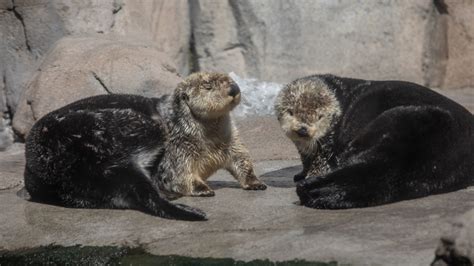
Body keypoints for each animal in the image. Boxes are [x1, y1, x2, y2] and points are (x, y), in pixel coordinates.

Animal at [24, 71, 264, 220]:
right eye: (208, 85)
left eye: (229, 79)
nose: (234, 89)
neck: (210, 135)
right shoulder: (179, 147)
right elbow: (180, 174)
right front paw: (202, 188)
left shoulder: (231, 141)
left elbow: (241, 159)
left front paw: (255, 182)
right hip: (133, 128)